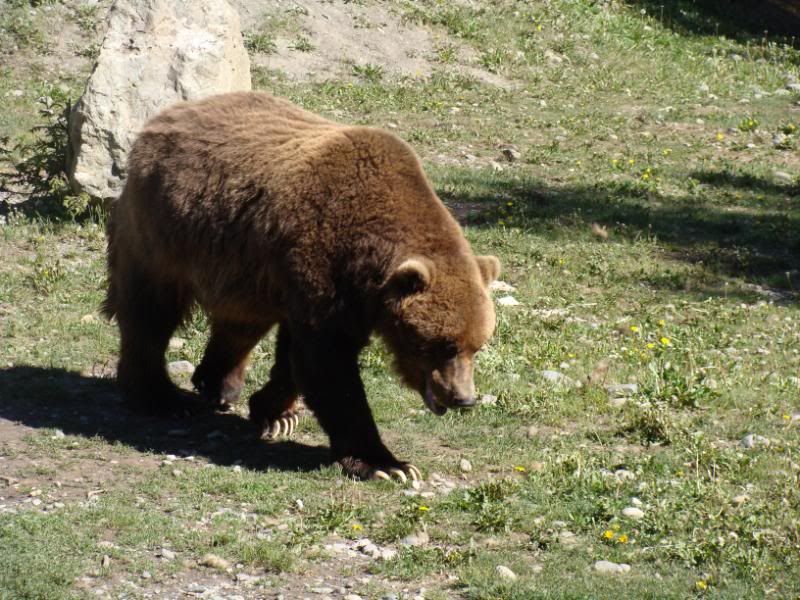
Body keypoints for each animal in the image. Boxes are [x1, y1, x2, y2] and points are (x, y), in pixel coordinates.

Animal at [103, 91, 500, 481]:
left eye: (476, 346)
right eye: (445, 345)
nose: (463, 398)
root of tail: (164, 117)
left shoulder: (324, 288)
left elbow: (295, 357)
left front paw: (276, 414)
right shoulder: (324, 269)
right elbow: (326, 365)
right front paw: (388, 465)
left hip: (241, 263)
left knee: (240, 322)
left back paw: (220, 384)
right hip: (165, 232)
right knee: (150, 312)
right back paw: (162, 397)